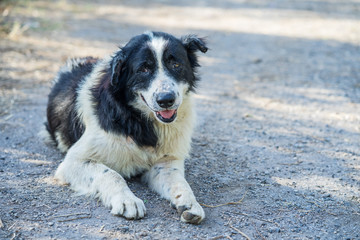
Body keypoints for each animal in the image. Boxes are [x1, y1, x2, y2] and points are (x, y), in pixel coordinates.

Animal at [44, 31, 208, 224]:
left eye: (176, 64)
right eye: (143, 69)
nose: (166, 99)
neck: (136, 119)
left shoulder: (166, 162)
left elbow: (180, 182)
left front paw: (189, 202)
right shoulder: (73, 161)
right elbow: (110, 174)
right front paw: (127, 200)